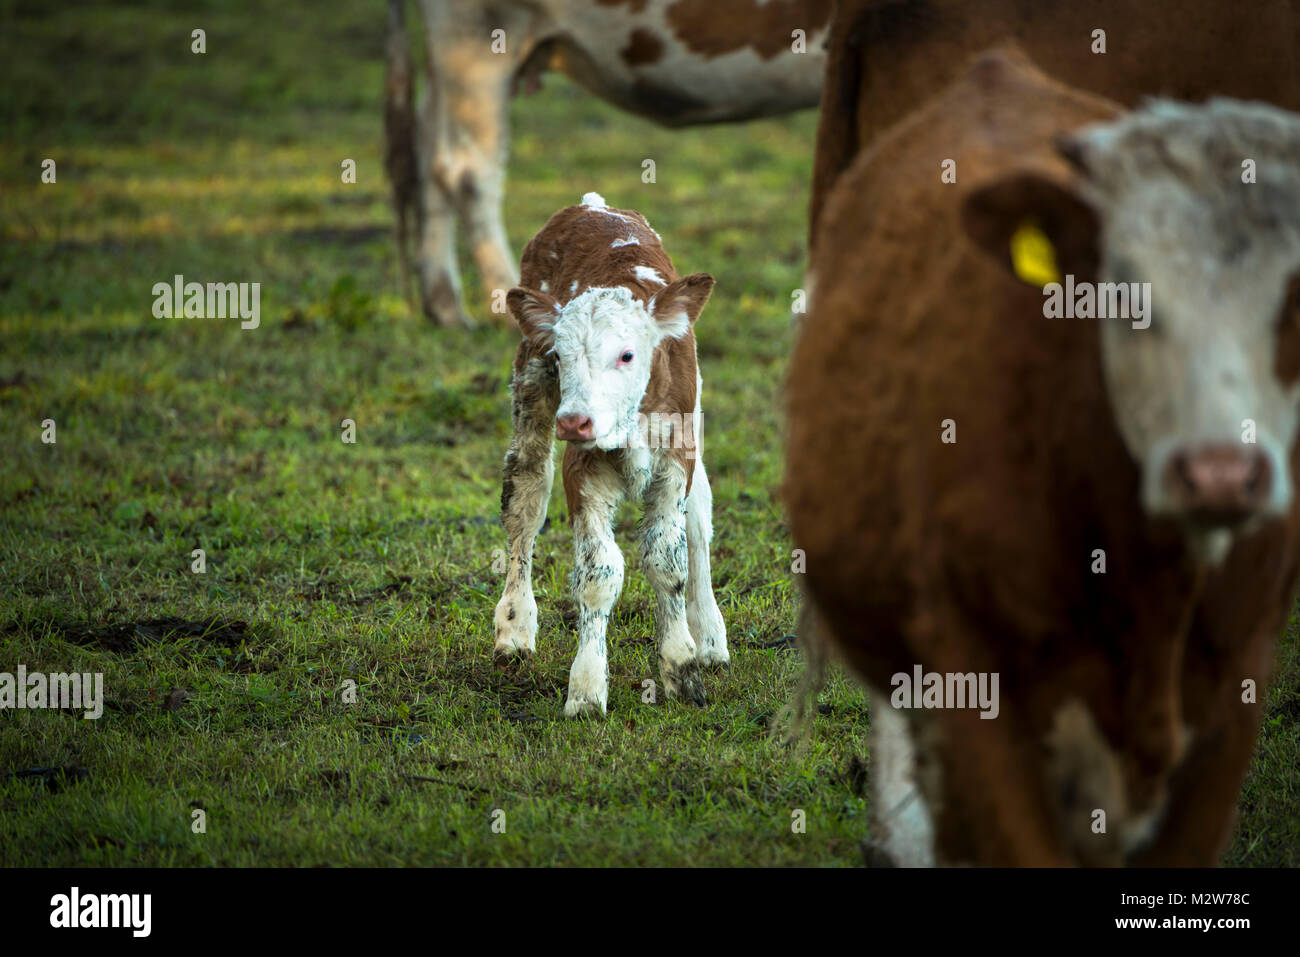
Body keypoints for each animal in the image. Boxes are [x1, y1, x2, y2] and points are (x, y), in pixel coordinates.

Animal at [491, 196, 733, 717]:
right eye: (560, 356)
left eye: (626, 355)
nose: (575, 422)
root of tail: (591, 205)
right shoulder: (582, 469)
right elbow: (598, 572)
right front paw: (585, 690)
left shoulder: (676, 457)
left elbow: (668, 559)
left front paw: (683, 666)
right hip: (529, 389)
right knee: (524, 499)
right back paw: (514, 629)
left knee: (700, 517)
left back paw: (710, 637)